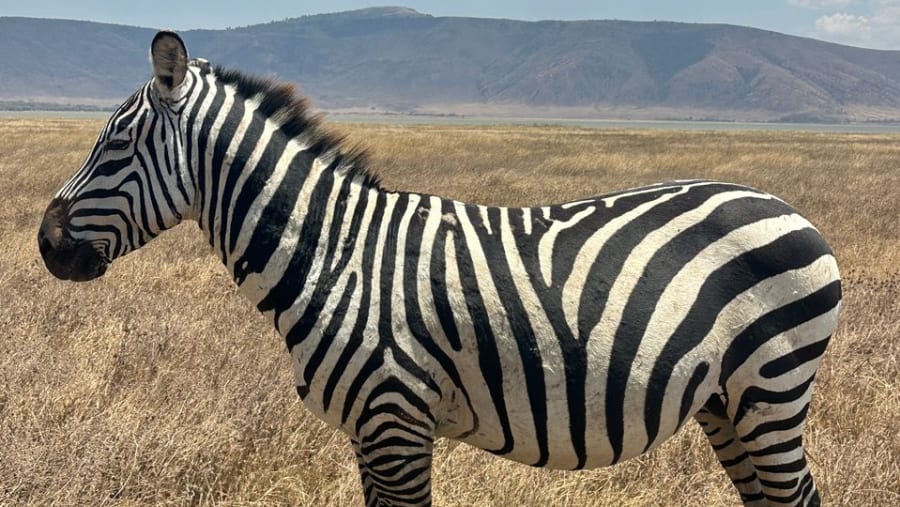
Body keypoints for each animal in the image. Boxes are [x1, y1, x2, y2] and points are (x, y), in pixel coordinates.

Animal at [37, 31, 841, 507]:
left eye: (115, 144)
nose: (44, 245)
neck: (332, 254)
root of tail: (790, 209)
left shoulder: (394, 419)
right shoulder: (371, 431)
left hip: (770, 389)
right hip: (727, 402)